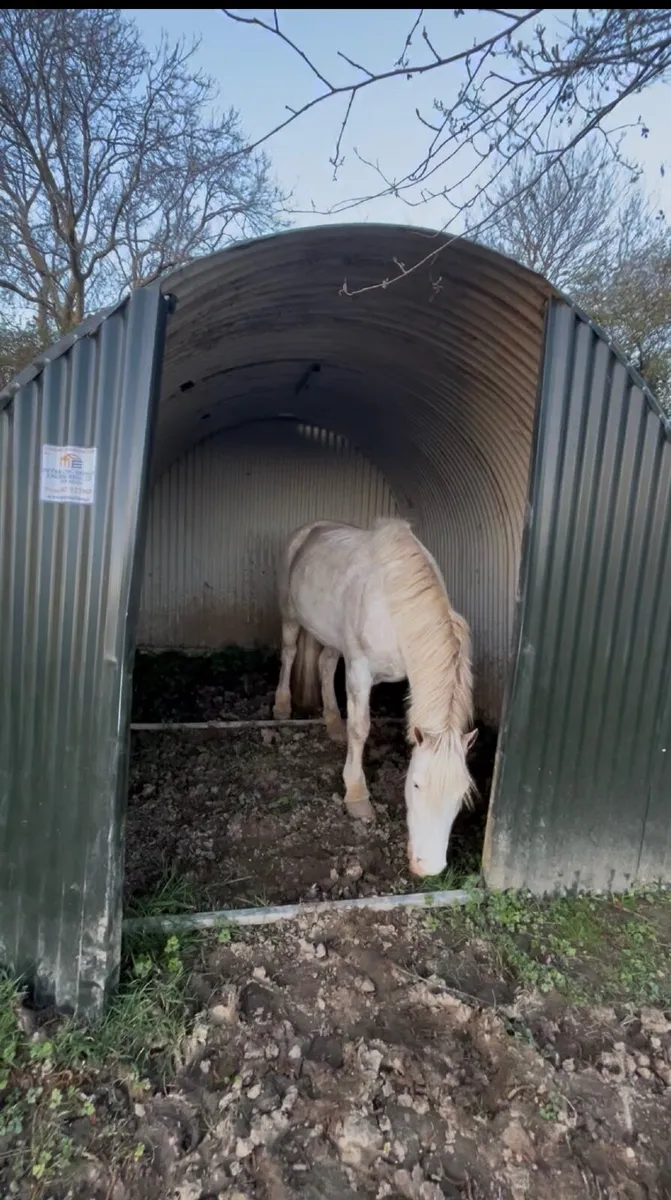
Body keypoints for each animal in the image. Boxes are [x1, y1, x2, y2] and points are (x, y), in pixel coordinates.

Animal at [272, 518, 477, 877]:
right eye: (416, 785)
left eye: (461, 794)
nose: (429, 868)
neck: (397, 609)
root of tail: (311, 528)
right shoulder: (359, 671)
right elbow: (361, 729)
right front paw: (357, 796)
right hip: (290, 616)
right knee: (290, 651)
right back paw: (282, 706)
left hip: (332, 637)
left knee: (325, 663)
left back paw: (332, 723)